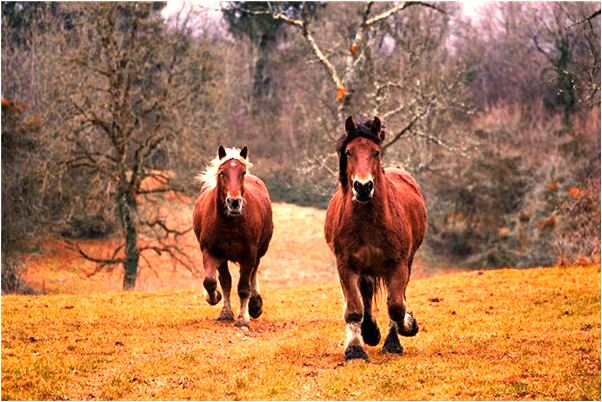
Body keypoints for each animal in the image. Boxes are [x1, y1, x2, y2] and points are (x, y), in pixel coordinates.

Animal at [192, 146, 272, 328]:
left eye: (242, 172)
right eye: (222, 172)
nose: (234, 202)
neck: (230, 223)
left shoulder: (249, 254)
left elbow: (243, 287)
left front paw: (243, 319)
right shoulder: (211, 252)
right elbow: (211, 281)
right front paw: (216, 299)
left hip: (259, 252)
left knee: (253, 273)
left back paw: (255, 305)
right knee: (225, 280)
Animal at [324, 116, 426, 362]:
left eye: (376, 152)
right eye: (349, 152)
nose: (363, 187)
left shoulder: (398, 264)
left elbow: (396, 306)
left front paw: (407, 327)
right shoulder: (346, 265)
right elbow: (354, 308)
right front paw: (355, 350)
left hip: (405, 263)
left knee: (395, 297)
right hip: (366, 268)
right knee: (367, 293)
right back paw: (369, 332)